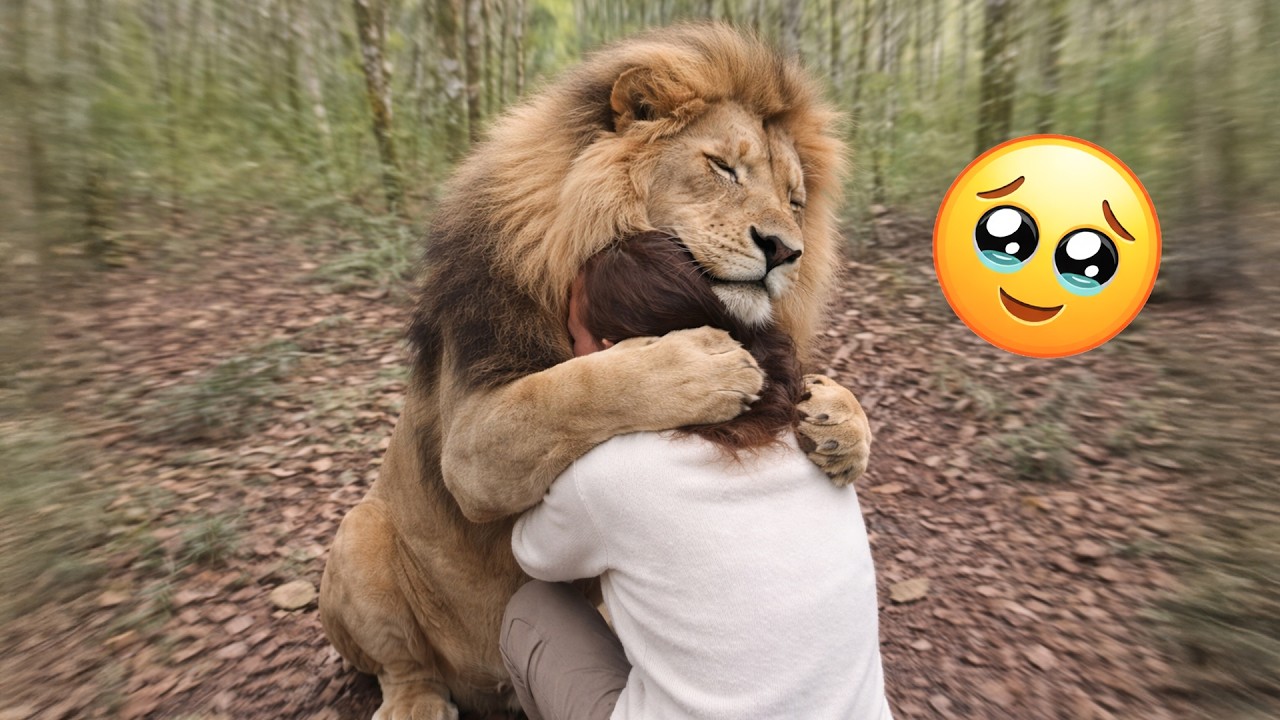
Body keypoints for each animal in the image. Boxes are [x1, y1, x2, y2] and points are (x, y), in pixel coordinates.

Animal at [319, 23, 872, 719]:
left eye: (796, 202)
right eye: (722, 167)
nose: (786, 251)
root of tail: (490, 688)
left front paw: (841, 425)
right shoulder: (472, 446)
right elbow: (574, 388)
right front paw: (704, 367)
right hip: (360, 533)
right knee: (402, 666)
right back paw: (415, 704)